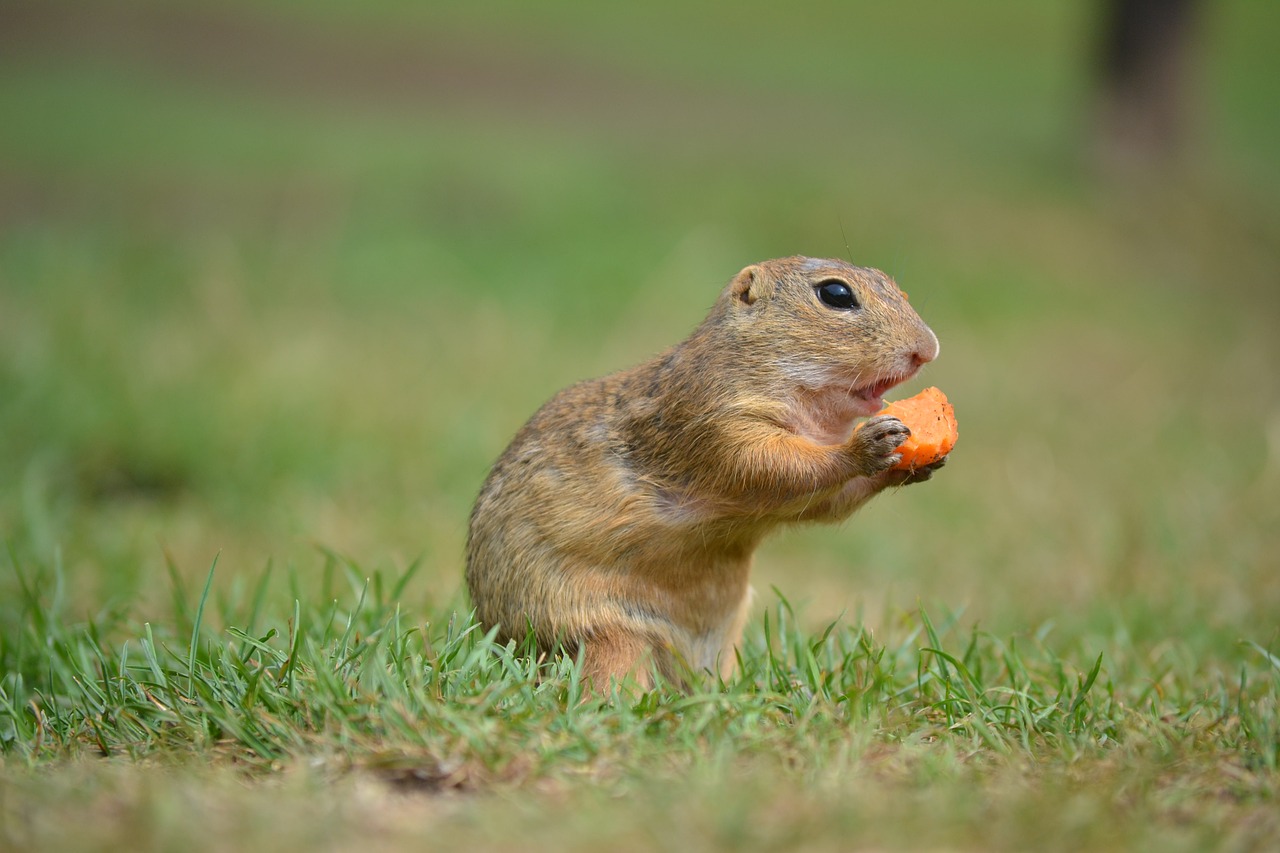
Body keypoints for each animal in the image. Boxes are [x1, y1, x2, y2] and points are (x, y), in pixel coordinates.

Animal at [465, 256, 947, 686]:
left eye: (894, 285)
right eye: (835, 294)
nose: (928, 348)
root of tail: (503, 643)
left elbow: (824, 503)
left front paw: (911, 464)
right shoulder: (718, 422)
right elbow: (777, 466)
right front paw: (867, 445)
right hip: (606, 636)